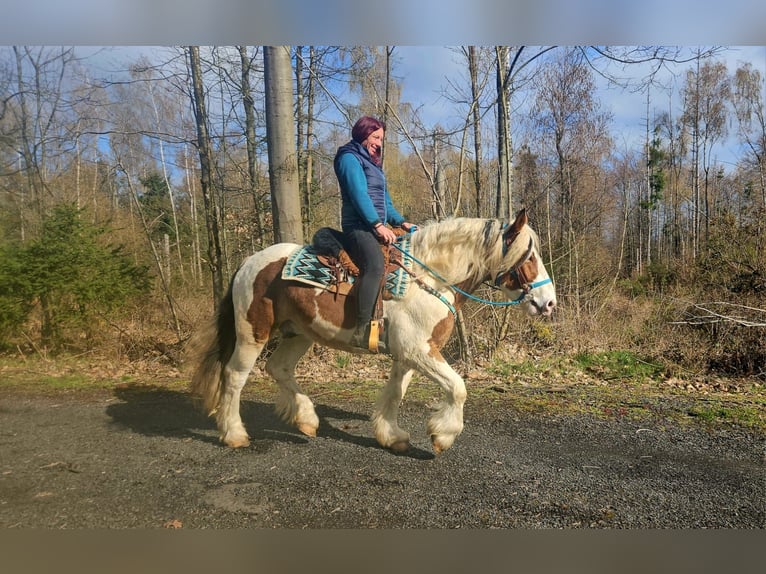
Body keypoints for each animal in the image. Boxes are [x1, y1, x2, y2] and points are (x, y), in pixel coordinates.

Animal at [187, 208, 557, 454]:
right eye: (529, 256)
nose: (549, 302)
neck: (428, 278)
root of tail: (248, 262)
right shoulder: (419, 351)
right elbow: (458, 388)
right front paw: (442, 435)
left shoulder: (407, 355)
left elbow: (395, 393)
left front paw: (392, 436)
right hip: (253, 333)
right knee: (235, 377)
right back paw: (234, 433)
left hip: (298, 334)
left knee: (277, 368)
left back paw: (306, 418)